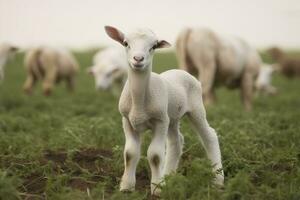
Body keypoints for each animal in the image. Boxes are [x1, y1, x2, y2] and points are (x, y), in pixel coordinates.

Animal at [104, 25, 224, 196]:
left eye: (153, 46)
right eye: (126, 43)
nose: (138, 59)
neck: (139, 102)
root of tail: (181, 71)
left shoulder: (160, 122)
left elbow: (154, 155)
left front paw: (157, 189)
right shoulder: (127, 121)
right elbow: (130, 154)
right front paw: (126, 187)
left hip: (196, 110)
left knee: (210, 136)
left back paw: (218, 180)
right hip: (172, 117)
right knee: (176, 142)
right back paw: (168, 177)